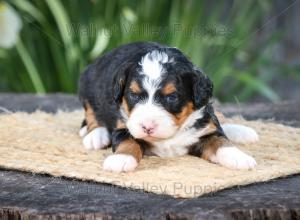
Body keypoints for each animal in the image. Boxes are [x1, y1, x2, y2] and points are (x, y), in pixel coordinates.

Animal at [79, 41, 258, 172]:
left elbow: (220, 141)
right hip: (87, 84)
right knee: (91, 113)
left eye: (171, 97)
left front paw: (239, 157)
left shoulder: (206, 128)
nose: (147, 127)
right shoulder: (124, 127)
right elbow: (128, 141)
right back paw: (96, 135)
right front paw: (121, 159)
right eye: (134, 95)